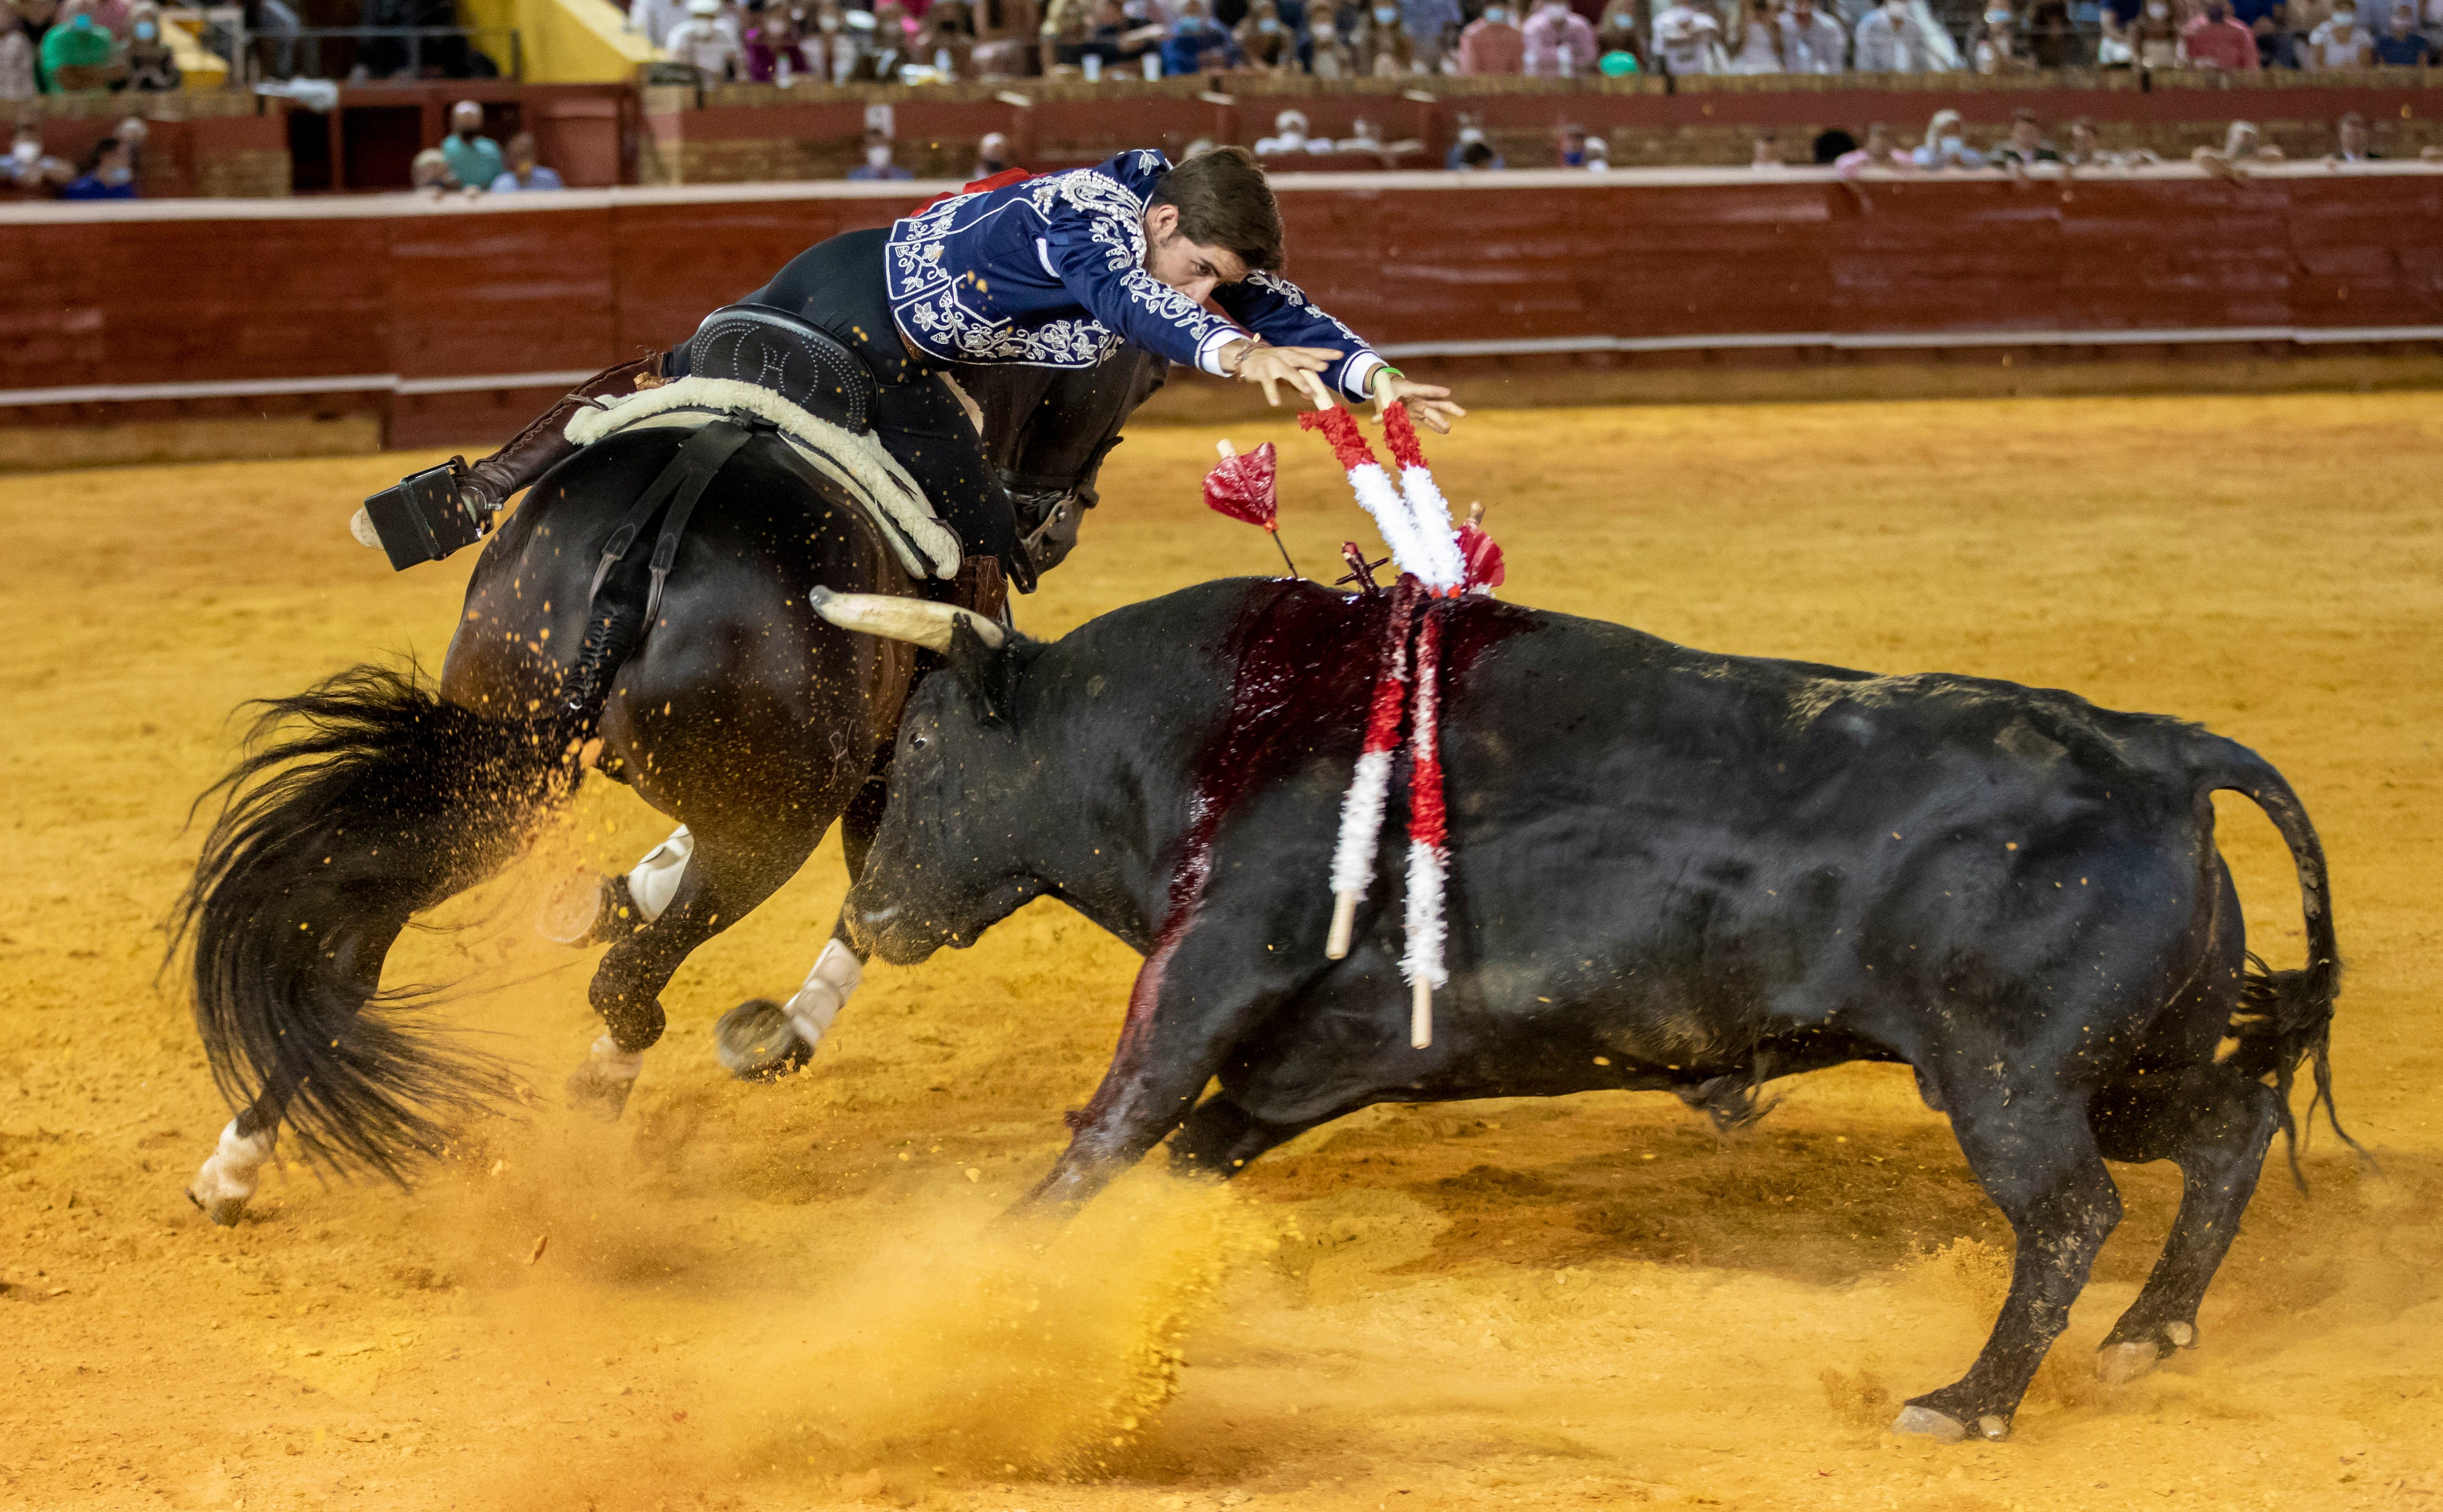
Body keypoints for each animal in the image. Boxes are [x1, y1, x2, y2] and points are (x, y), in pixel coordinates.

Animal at [175, 359, 1163, 1231]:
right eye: (1142, 380)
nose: (1053, 530)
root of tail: (645, 548)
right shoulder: (892, 768)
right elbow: (871, 904)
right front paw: (782, 1034)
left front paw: (616, 898)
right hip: (771, 825)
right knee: (631, 980)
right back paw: (599, 1105)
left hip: (493, 776)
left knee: (348, 963)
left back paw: (234, 1166)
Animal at [850, 576, 2355, 1446]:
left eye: (923, 745)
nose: (863, 914)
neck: (1202, 726)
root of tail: (2160, 749)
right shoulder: (1306, 1057)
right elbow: (1183, 1150)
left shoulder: (1210, 968)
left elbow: (1113, 1127)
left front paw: (979, 1290)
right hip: (2128, 1062)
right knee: (2227, 1126)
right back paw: (2148, 1337)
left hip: (2012, 1079)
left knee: (2070, 1214)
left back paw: (1967, 1402)